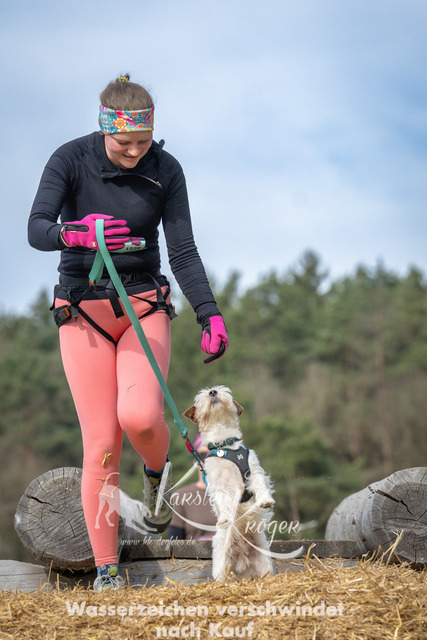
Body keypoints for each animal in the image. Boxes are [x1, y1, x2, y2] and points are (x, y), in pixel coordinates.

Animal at [184, 385, 275, 580]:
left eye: (219, 390)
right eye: (203, 396)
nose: (212, 391)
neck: (224, 446)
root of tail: (242, 558)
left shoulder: (253, 470)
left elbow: (260, 485)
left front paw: (265, 500)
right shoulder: (218, 484)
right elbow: (224, 501)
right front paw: (225, 517)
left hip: (264, 561)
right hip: (221, 561)